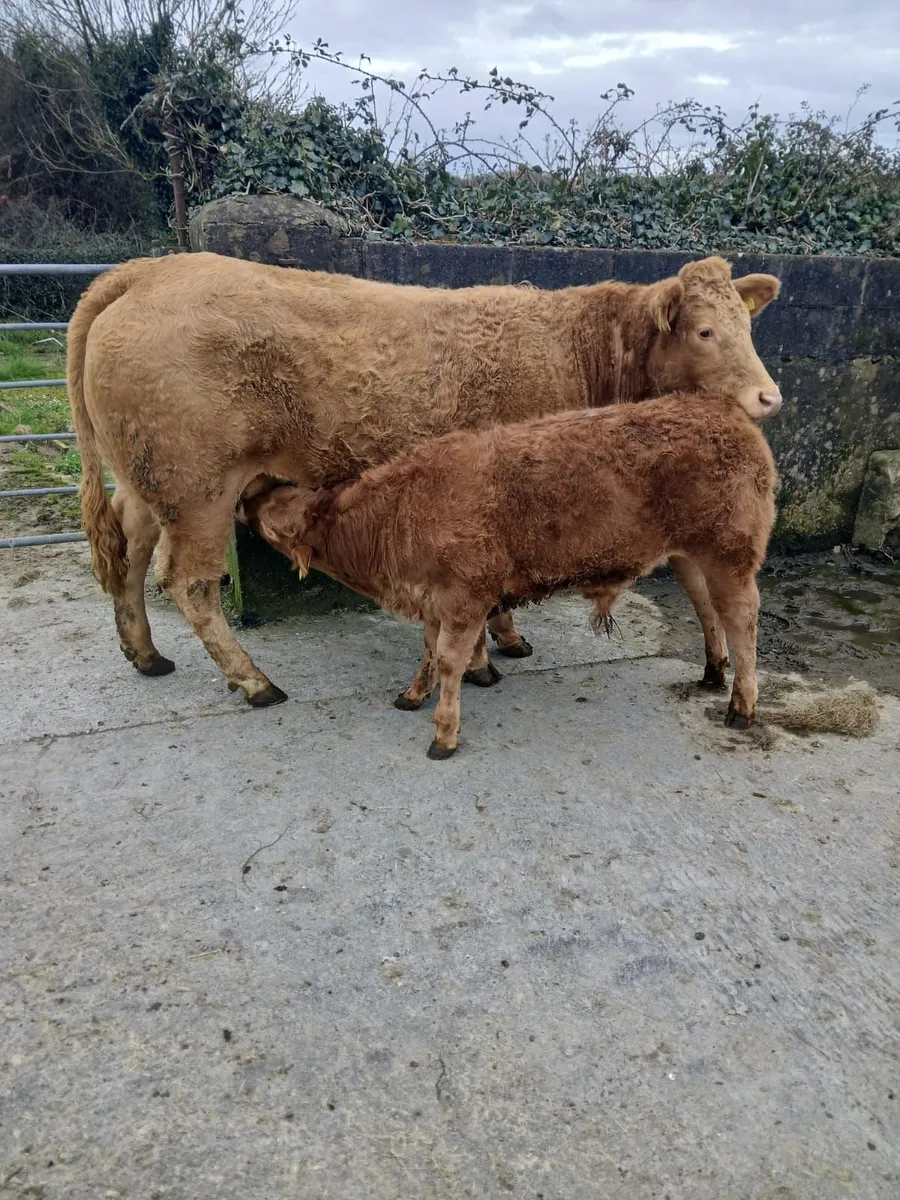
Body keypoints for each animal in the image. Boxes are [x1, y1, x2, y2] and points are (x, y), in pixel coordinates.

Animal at [69, 251, 780, 706]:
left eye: (748, 326)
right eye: (705, 330)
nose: (769, 397)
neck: (580, 350)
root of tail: (152, 269)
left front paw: (504, 643)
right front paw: (489, 657)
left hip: (148, 481)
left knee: (128, 555)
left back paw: (145, 654)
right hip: (199, 489)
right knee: (189, 583)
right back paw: (254, 682)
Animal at [244, 390, 777, 757]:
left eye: (271, 522)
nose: (249, 491)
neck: (398, 513)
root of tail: (721, 407)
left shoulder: (465, 596)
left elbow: (450, 659)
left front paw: (445, 732)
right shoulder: (435, 598)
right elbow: (429, 651)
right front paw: (413, 695)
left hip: (730, 552)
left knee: (741, 619)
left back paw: (741, 706)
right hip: (690, 555)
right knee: (707, 608)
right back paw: (713, 673)